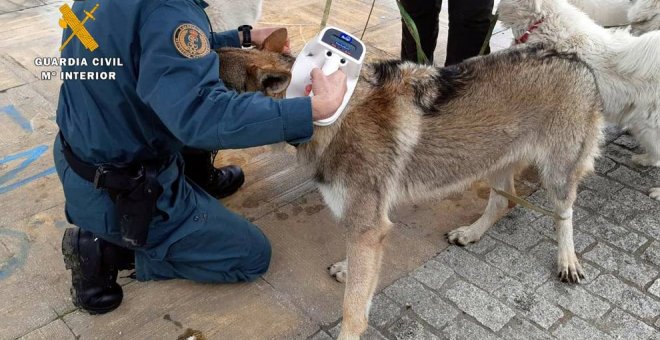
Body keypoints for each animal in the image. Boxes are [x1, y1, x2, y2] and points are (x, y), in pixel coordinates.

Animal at [217, 31, 604, 338]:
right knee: (503, 202)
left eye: (213, 86)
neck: (329, 111)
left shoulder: (369, 228)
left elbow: (352, 310)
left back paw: (567, 260)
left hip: (556, 176)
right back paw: (471, 233)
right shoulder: (365, 228)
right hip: (493, 162)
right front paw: (347, 268)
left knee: (563, 214)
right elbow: (359, 278)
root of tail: (575, 58)